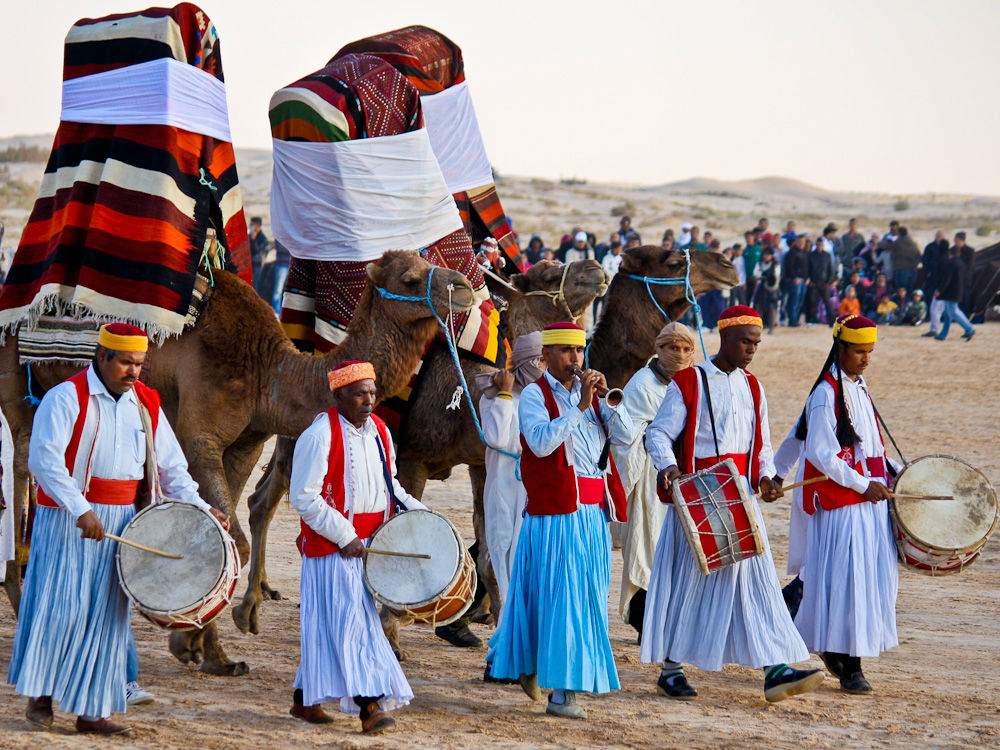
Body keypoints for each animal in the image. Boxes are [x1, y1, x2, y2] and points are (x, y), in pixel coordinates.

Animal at [0, 251, 476, 676]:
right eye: (410, 279)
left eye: (430, 260)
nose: (466, 288)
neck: (268, 372)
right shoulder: (200, 437)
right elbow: (234, 539)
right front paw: (191, 639)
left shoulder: (246, 443)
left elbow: (236, 537)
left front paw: (210, 652)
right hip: (15, 377)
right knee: (24, 459)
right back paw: (22, 600)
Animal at [231, 258, 608, 636]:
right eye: (549, 273)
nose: (596, 271)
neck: (464, 396)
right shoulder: (414, 458)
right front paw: (392, 624)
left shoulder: (481, 462)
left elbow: (489, 545)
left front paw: (495, 622)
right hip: (297, 440)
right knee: (264, 502)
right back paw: (251, 605)